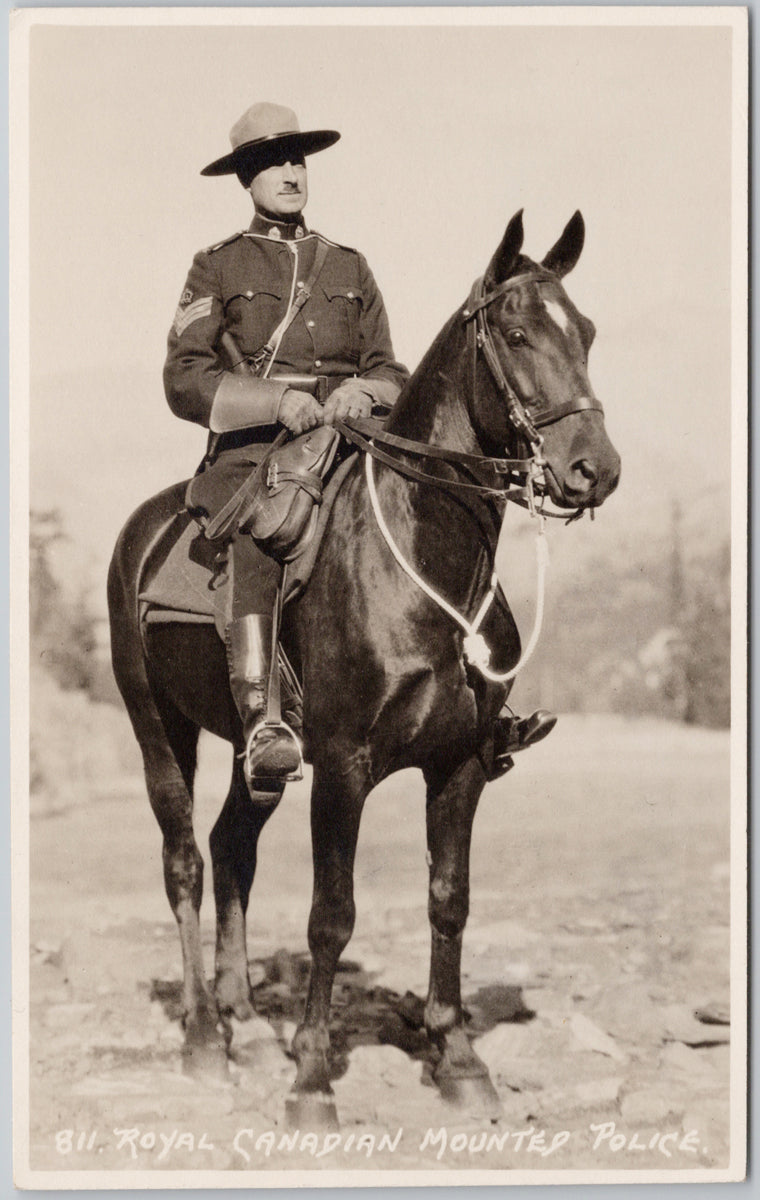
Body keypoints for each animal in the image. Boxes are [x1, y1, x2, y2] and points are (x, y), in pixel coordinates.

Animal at [108, 213, 614, 1123]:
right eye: (517, 334)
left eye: (585, 332)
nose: (597, 468)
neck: (419, 558)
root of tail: (146, 527)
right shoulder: (344, 765)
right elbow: (331, 917)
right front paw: (311, 1076)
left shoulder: (459, 766)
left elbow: (449, 900)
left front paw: (457, 1059)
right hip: (158, 728)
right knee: (185, 862)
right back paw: (202, 1036)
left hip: (259, 754)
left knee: (231, 845)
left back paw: (242, 1016)